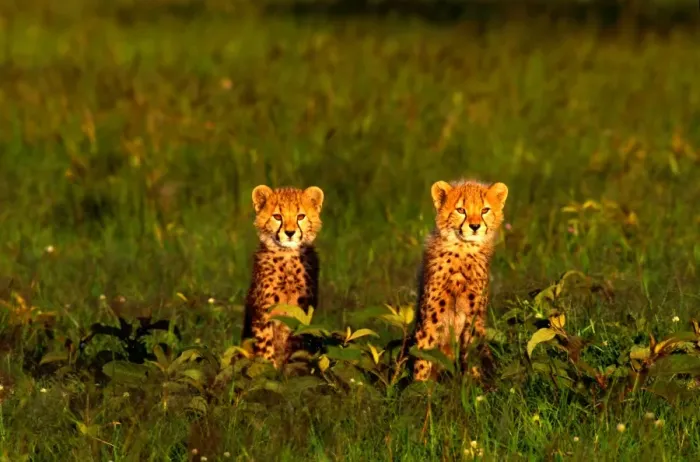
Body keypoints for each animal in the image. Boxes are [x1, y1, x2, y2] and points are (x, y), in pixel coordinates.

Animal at [242, 185, 325, 369]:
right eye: (277, 217)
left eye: (300, 216)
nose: (290, 232)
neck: (287, 255)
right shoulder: (262, 312)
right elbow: (265, 347)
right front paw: (269, 370)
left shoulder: (303, 313)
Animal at [411, 179, 508, 381]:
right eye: (461, 210)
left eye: (485, 210)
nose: (475, 226)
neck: (463, 250)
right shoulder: (431, 318)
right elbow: (423, 355)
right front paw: (420, 385)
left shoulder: (473, 318)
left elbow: (472, 353)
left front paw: (473, 383)